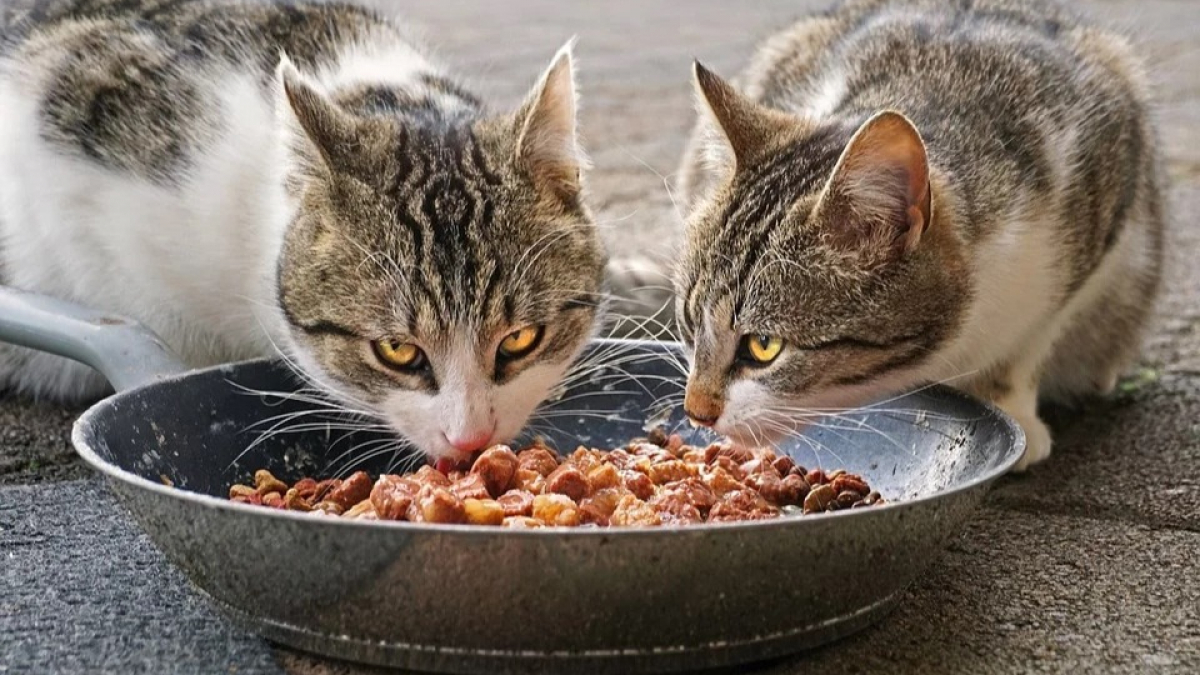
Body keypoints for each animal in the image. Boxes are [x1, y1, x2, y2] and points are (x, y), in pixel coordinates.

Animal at [672, 0, 1156, 470]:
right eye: (690, 323)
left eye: (764, 346)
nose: (695, 411)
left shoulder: (1104, 190)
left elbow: (1029, 342)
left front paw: (1011, 405)